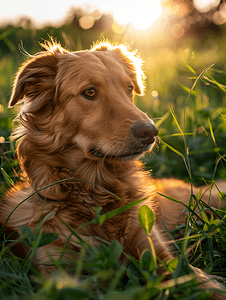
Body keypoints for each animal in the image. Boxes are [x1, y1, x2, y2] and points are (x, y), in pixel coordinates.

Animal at [0, 41, 225, 298]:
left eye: (129, 89)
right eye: (89, 92)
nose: (150, 132)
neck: (94, 193)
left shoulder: (157, 252)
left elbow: (202, 283)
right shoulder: (55, 266)